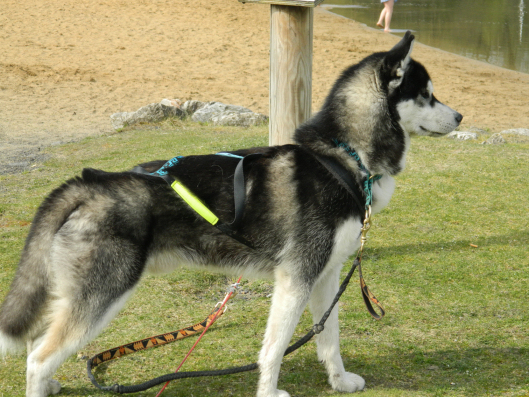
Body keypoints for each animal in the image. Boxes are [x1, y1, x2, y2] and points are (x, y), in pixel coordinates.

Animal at [0, 31, 460, 396]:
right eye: (426, 94)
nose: (459, 115)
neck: (342, 159)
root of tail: (89, 182)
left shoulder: (324, 276)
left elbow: (328, 337)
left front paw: (340, 381)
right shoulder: (295, 279)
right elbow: (274, 348)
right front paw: (270, 392)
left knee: (40, 348)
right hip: (103, 295)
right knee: (38, 357)